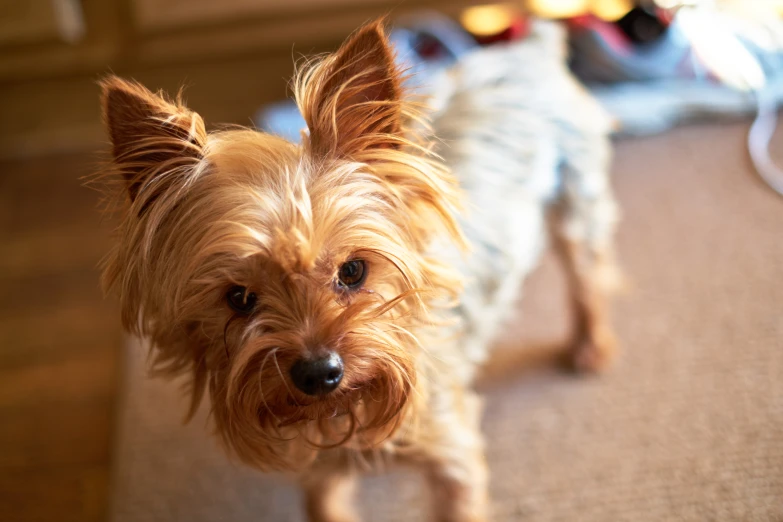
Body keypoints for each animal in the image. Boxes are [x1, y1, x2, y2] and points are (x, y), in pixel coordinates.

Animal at [101, 18, 620, 516]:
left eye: (353, 271)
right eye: (239, 298)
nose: (318, 373)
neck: (345, 411)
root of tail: (529, 48)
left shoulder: (454, 455)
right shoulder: (318, 462)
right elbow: (325, 506)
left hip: (577, 201)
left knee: (588, 278)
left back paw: (590, 346)